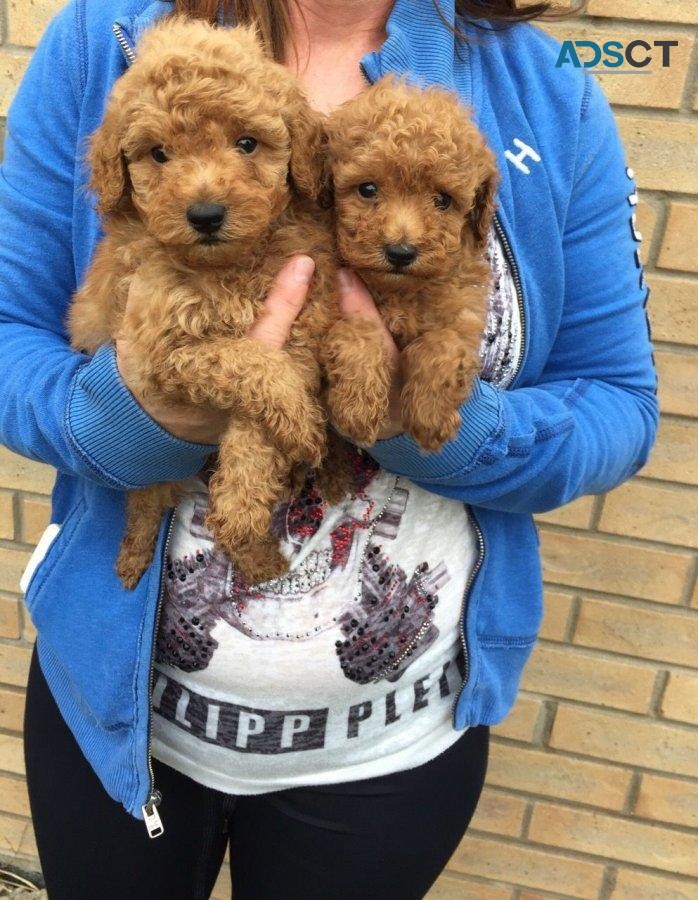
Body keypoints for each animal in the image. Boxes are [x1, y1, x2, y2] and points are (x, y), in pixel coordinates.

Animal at [68, 19, 346, 592]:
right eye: (158, 154)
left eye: (247, 143)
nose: (205, 215)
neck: (229, 268)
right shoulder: (158, 353)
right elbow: (249, 362)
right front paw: (299, 424)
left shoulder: (302, 323)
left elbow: (255, 429)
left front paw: (243, 519)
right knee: (145, 497)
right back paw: (134, 559)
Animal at [320, 79, 494, 450]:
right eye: (367, 189)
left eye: (442, 200)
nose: (400, 252)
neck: (399, 292)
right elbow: (358, 334)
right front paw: (357, 409)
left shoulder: (462, 313)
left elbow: (442, 345)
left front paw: (429, 416)